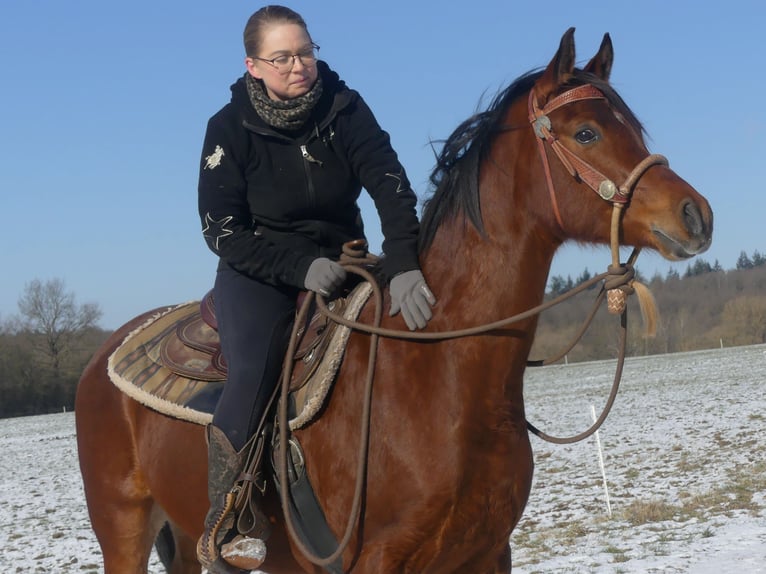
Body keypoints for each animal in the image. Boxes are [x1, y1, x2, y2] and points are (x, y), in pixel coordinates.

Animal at [76, 29, 712, 572]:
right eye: (586, 133)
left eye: (633, 129)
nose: (696, 214)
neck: (438, 369)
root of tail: (104, 355)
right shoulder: (376, 562)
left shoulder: (486, 554)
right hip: (124, 532)